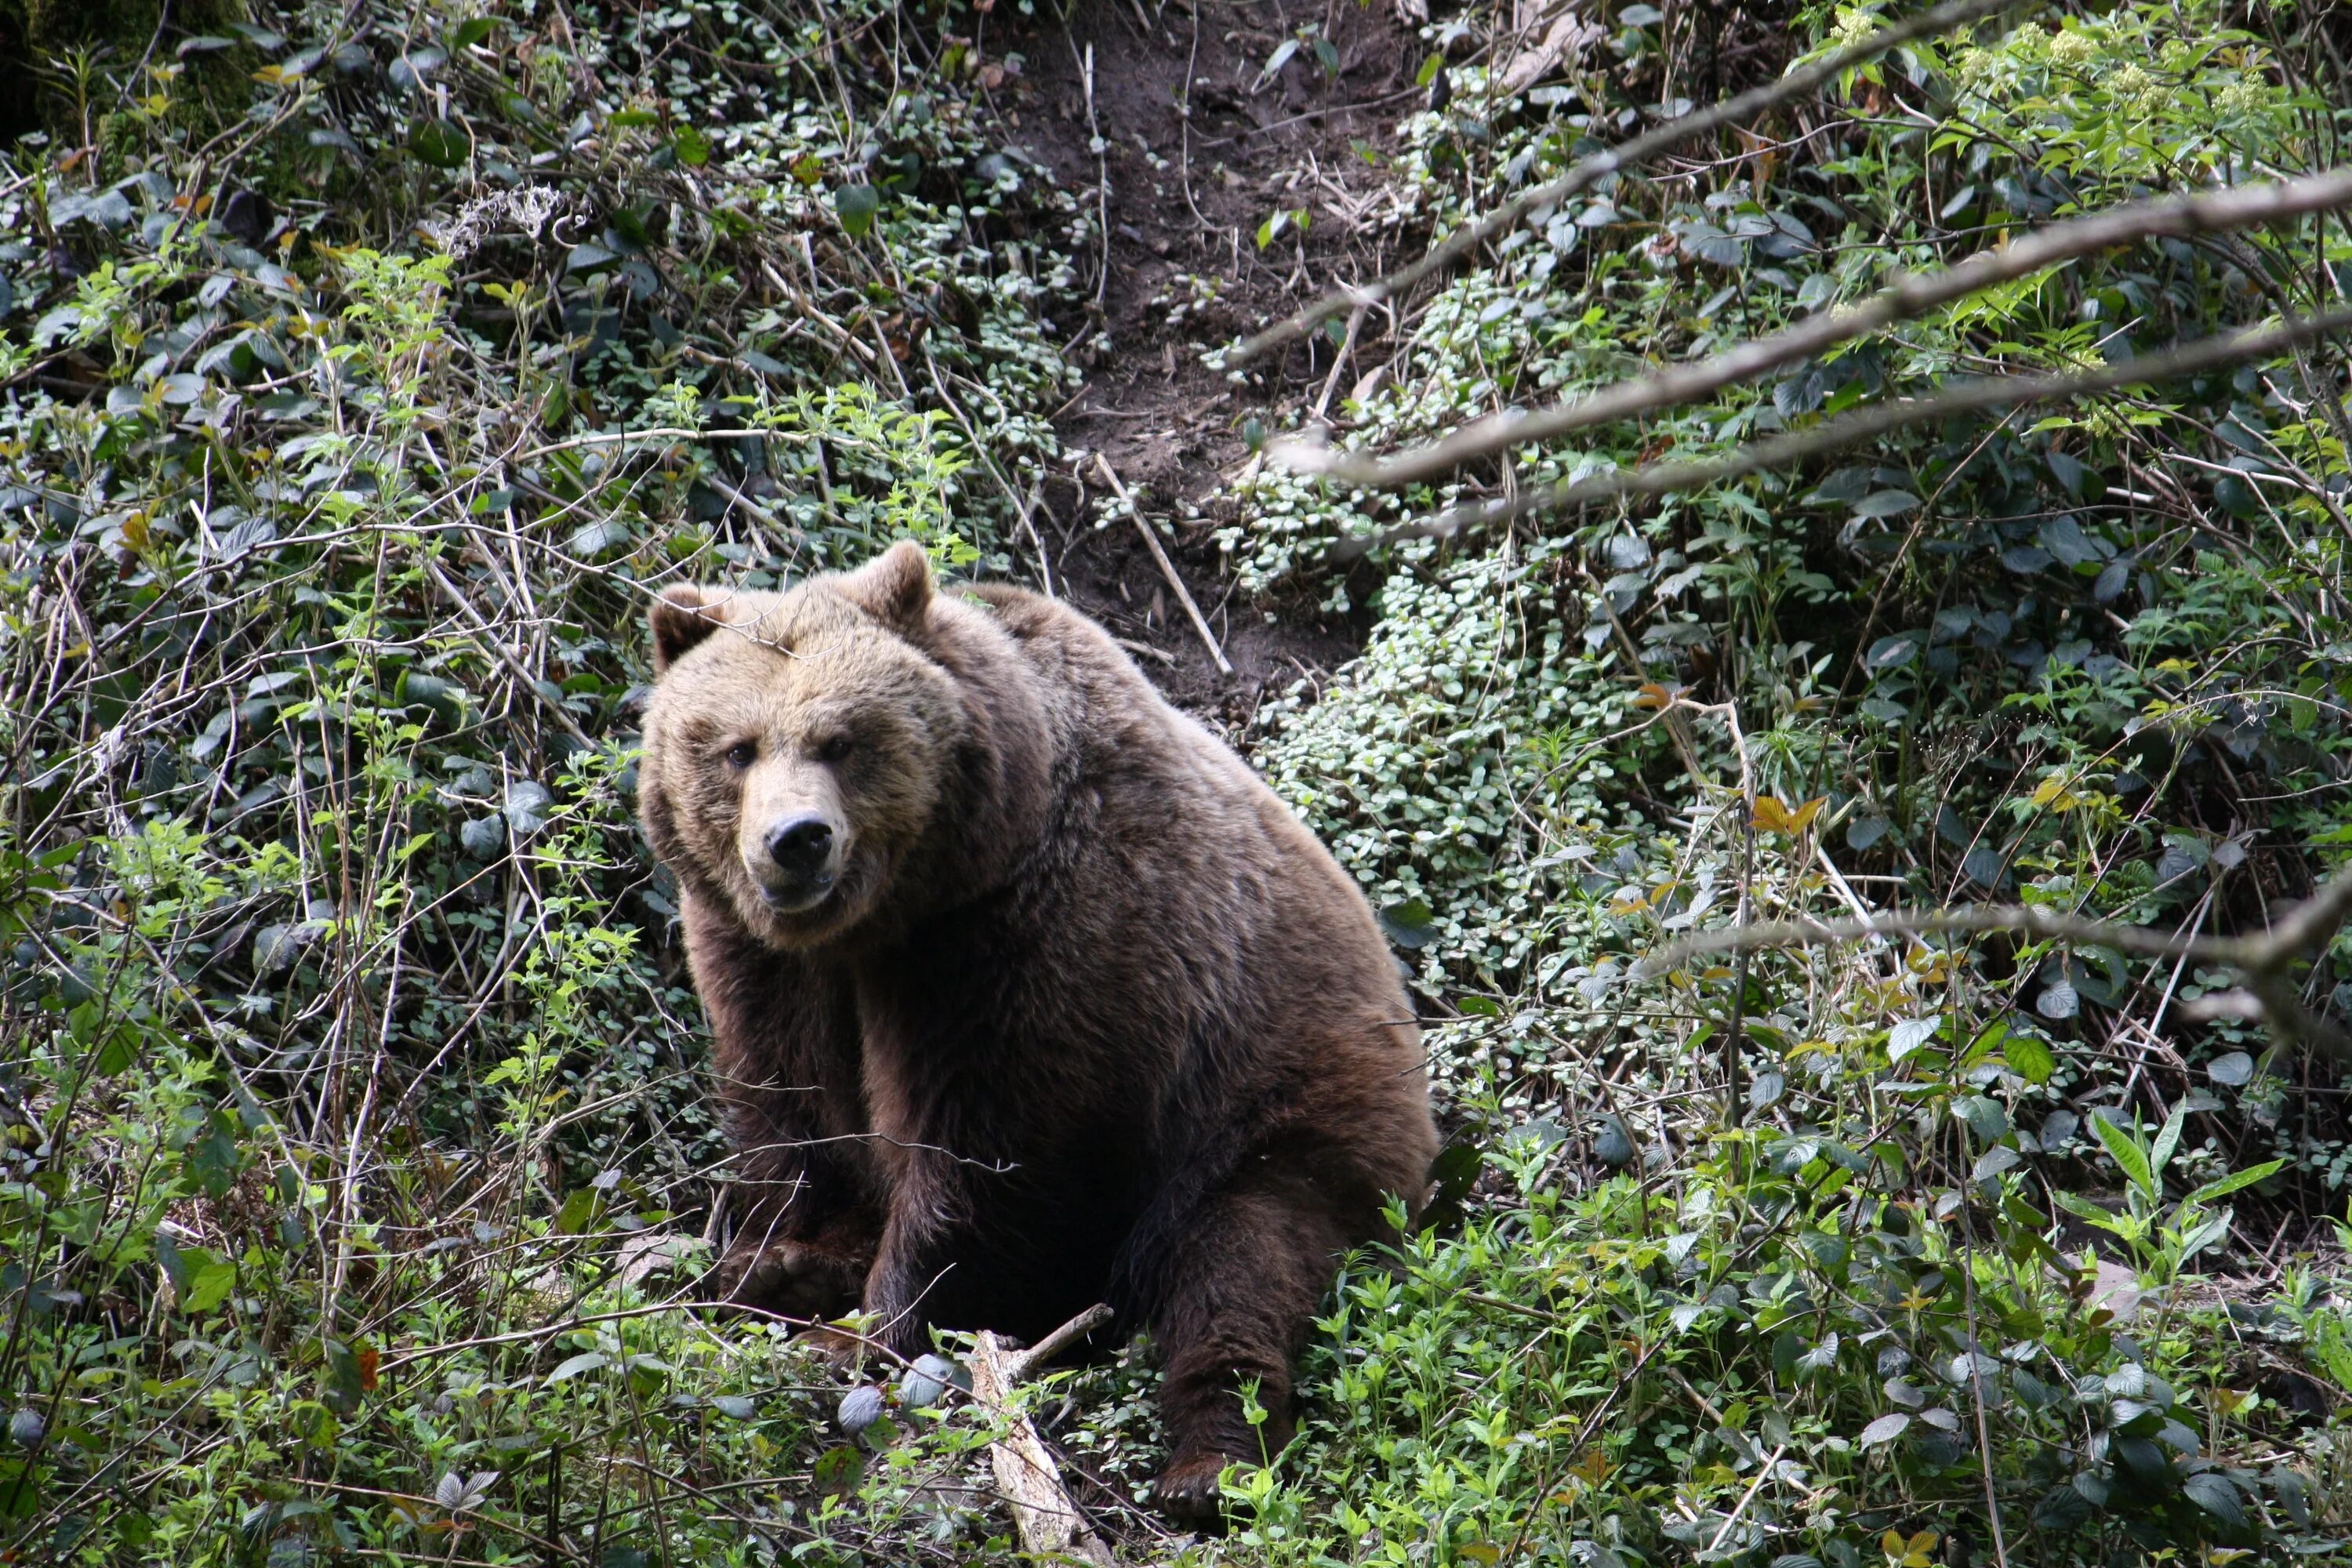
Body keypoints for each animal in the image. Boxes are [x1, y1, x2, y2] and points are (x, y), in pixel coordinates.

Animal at [635, 540, 1430, 1523]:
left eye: (842, 739)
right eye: (736, 748)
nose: (797, 839)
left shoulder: (1039, 940)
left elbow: (994, 1167)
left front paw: (867, 1328)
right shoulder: (763, 960)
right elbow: (793, 1109)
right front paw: (785, 1263)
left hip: (1287, 1110)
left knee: (1240, 1265)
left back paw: (1209, 1465)